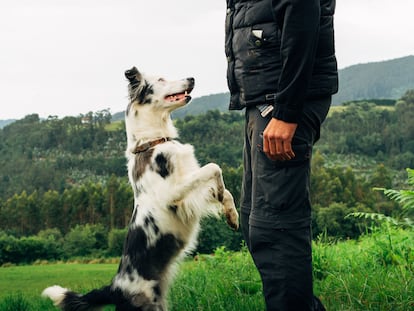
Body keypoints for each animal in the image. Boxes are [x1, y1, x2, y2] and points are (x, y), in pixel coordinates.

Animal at [42, 67, 239, 310]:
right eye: (161, 79)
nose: (192, 78)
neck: (153, 142)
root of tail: (114, 288)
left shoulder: (189, 192)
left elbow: (223, 188)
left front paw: (232, 214)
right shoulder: (172, 195)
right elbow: (214, 167)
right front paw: (221, 194)